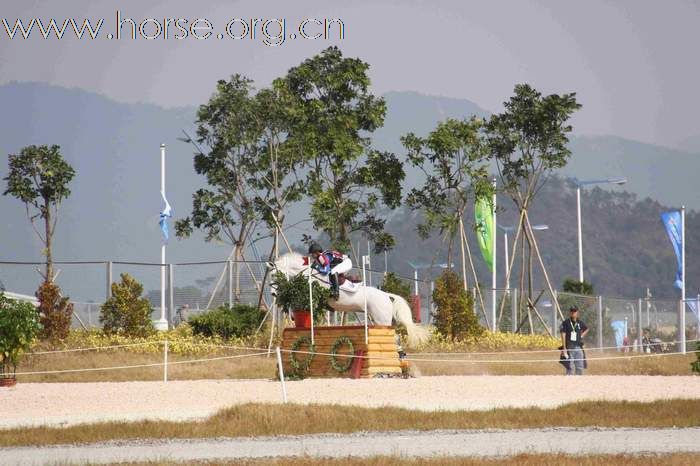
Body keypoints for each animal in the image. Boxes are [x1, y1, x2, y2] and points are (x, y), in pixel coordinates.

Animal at [270, 253, 430, 348]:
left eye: (273, 275)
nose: (272, 293)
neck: (310, 275)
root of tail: (386, 296)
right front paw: (293, 318)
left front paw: (293, 317)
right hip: (379, 320)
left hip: (381, 320)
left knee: (393, 337)